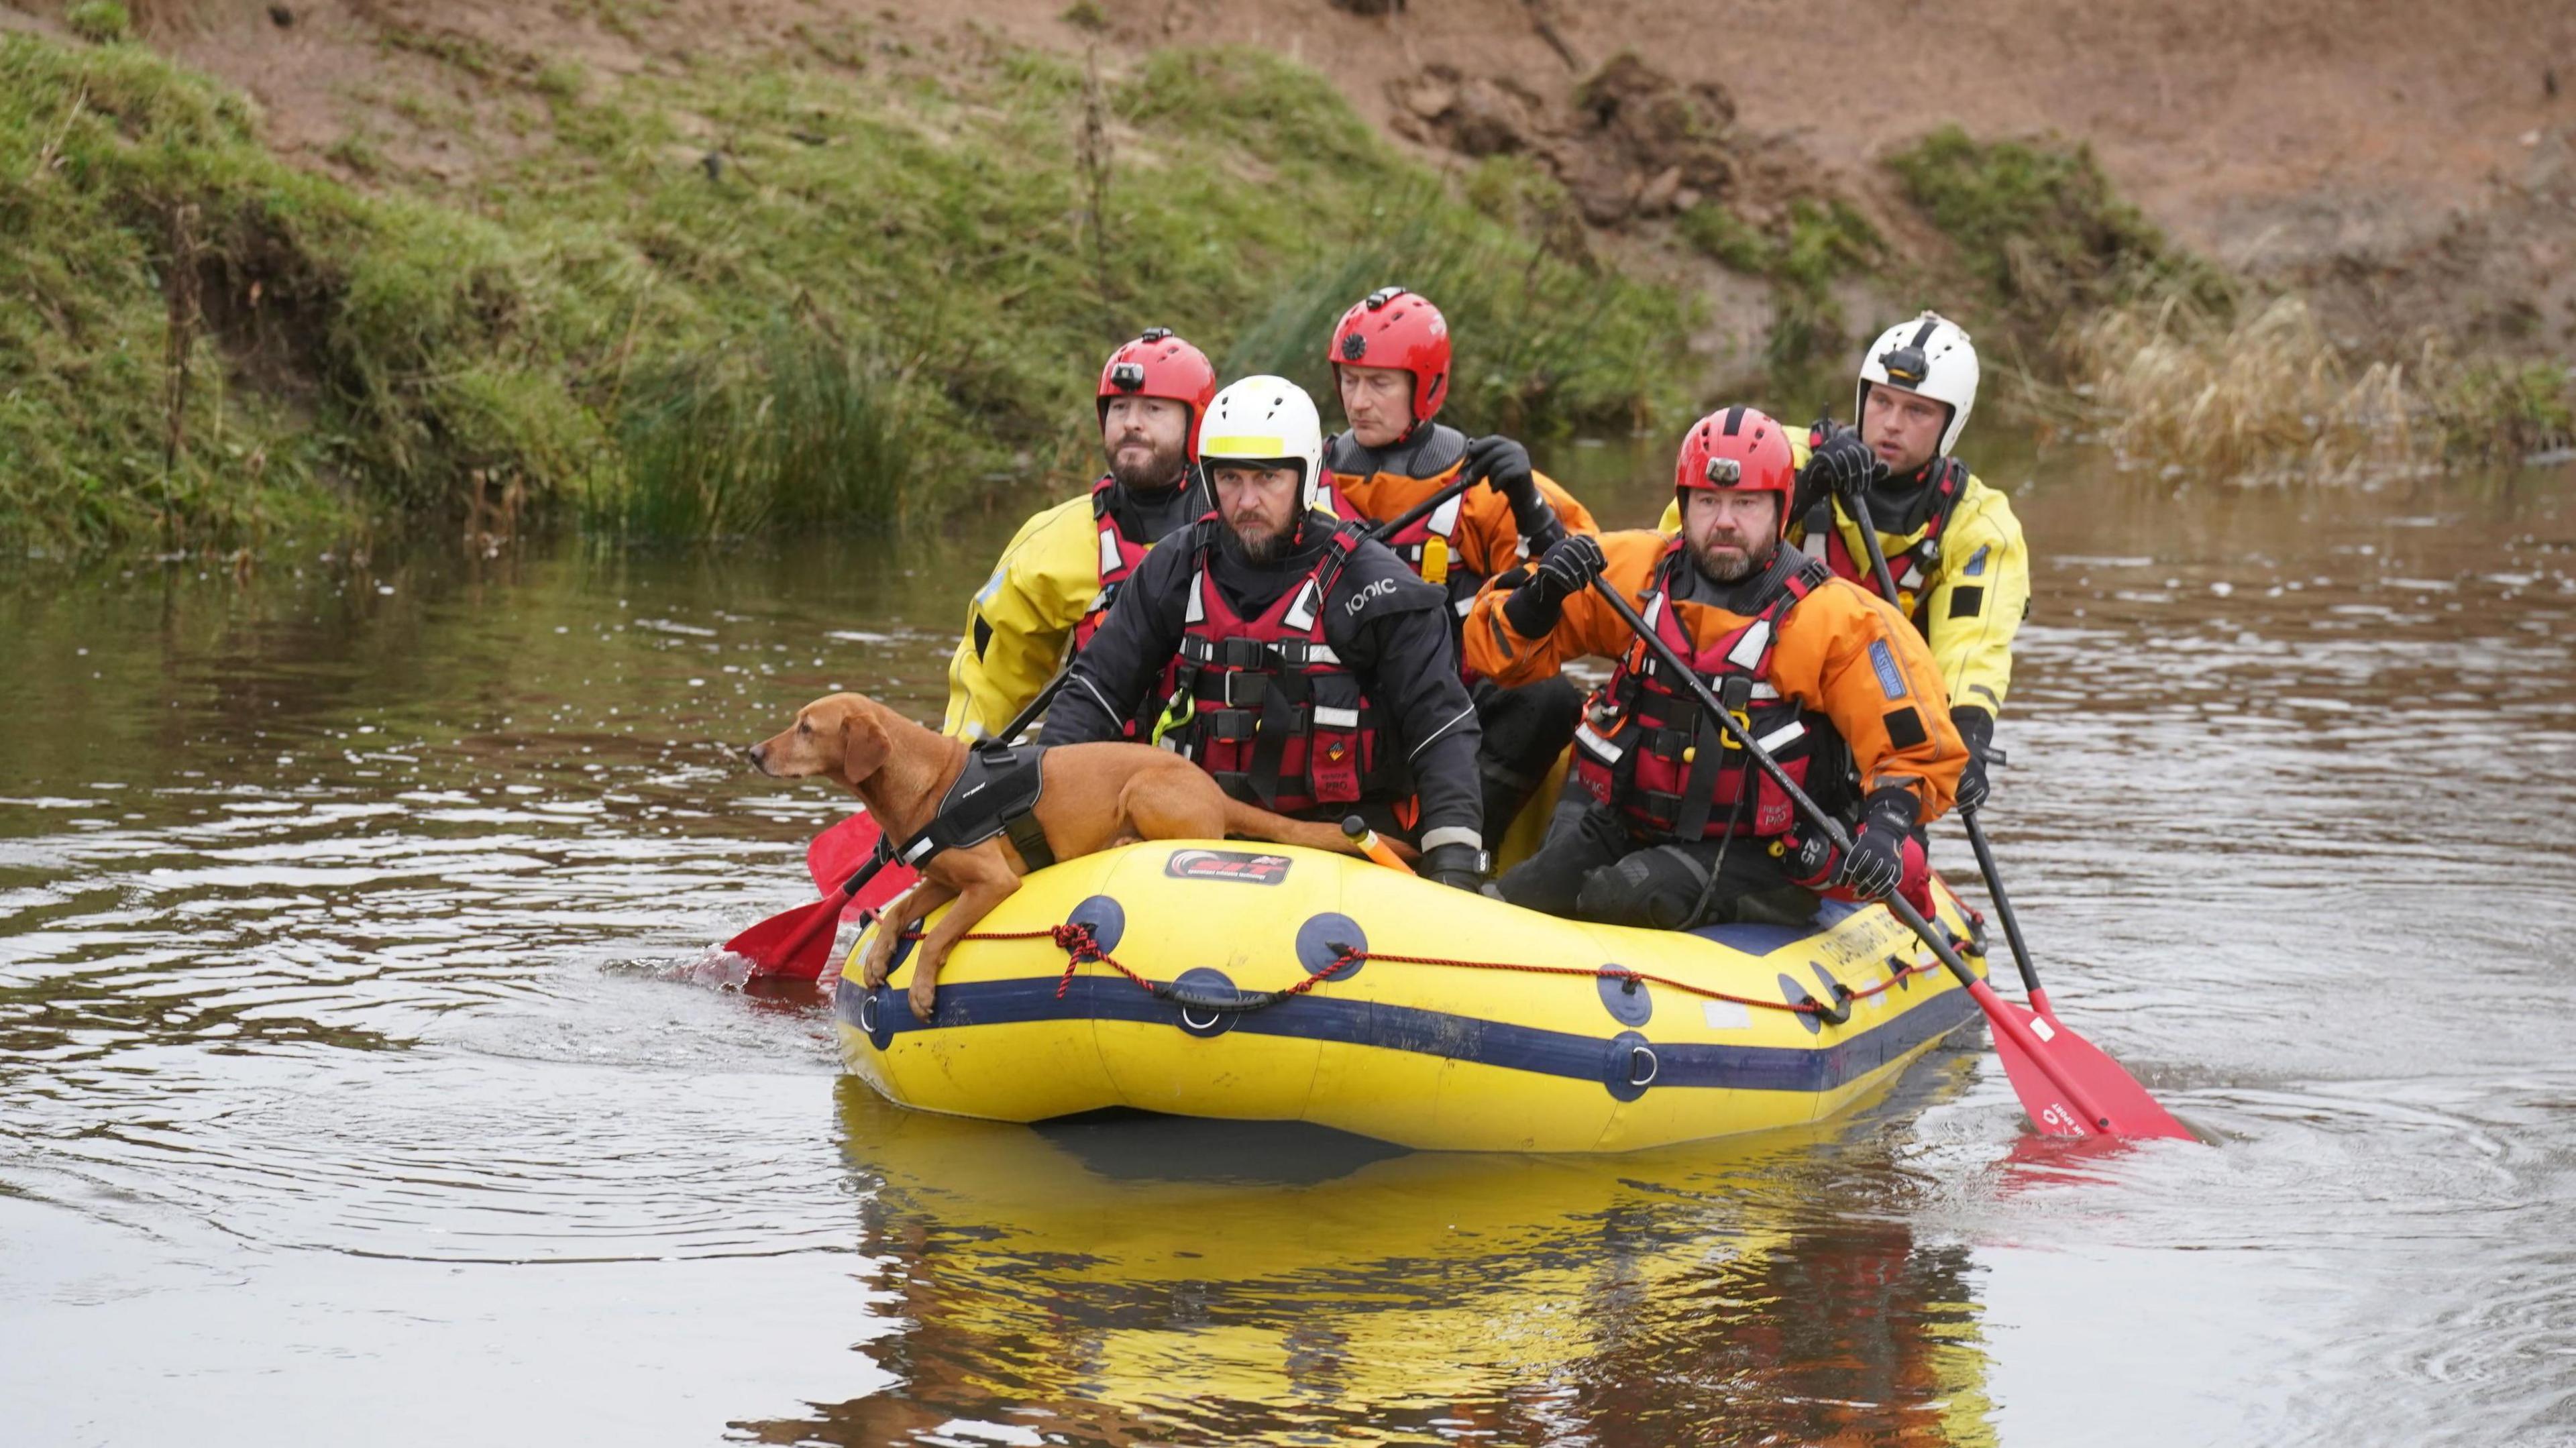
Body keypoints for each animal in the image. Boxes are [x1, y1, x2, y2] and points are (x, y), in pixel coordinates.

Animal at [747, 695, 1401, 1020]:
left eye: (806, 727)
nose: (753, 753)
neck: (930, 784)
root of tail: (1213, 788)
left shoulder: (992, 882)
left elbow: (937, 937)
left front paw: (922, 991)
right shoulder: (946, 878)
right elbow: (904, 907)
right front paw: (882, 957)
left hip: (1145, 790)